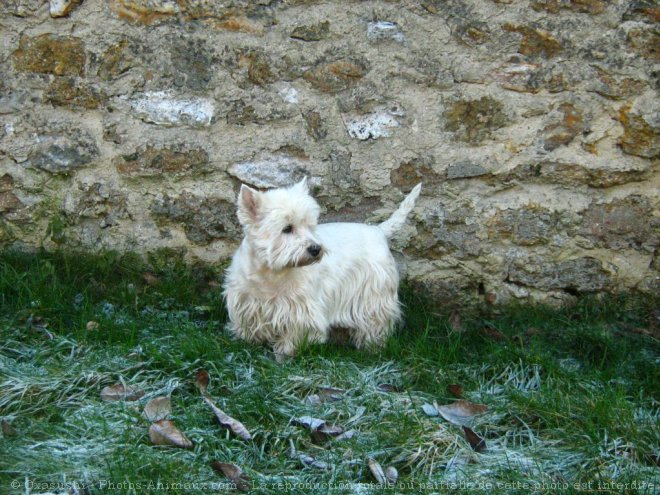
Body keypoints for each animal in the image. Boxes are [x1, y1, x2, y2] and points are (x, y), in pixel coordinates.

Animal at [223, 180, 422, 358]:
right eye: (287, 228)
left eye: (310, 226)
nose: (315, 249)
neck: (272, 273)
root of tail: (379, 230)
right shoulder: (247, 300)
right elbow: (248, 324)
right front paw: (246, 341)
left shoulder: (301, 308)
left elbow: (296, 332)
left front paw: (286, 351)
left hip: (374, 294)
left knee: (377, 320)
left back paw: (373, 345)